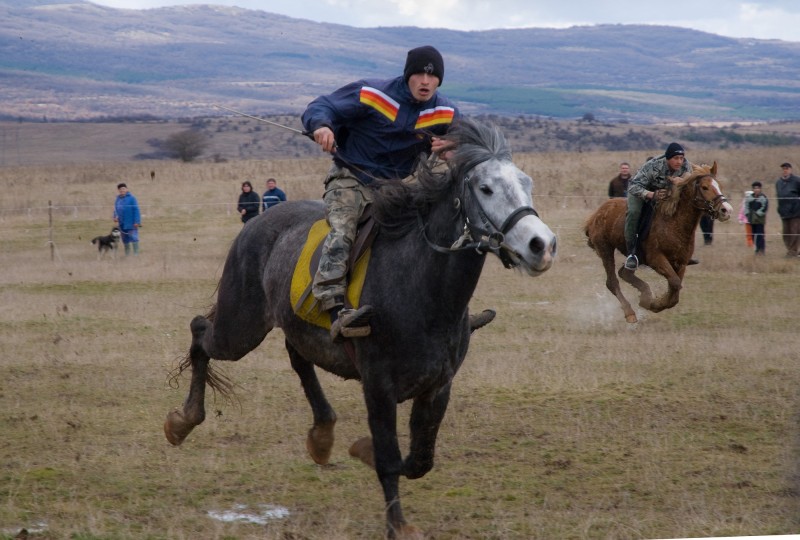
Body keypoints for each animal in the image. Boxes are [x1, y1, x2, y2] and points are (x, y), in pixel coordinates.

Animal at [164, 118, 556, 536]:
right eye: (486, 188)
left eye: (527, 183)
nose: (542, 245)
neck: (422, 287)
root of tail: (257, 222)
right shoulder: (378, 385)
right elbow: (389, 457)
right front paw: (397, 525)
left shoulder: (438, 386)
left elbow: (419, 460)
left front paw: (361, 450)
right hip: (241, 328)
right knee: (200, 331)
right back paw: (183, 421)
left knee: (297, 358)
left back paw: (322, 434)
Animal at [580, 162, 732, 322]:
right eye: (704, 187)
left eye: (719, 185)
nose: (726, 210)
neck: (673, 222)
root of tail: (596, 214)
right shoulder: (656, 259)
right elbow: (675, 283)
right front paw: (653, 304)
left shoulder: (681, 262)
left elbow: (675, 291)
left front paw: (652, 301)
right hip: (605, 249)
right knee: (612, 282)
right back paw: (630, 312)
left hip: (635, 257)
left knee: (624, 273)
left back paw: (645, 294)